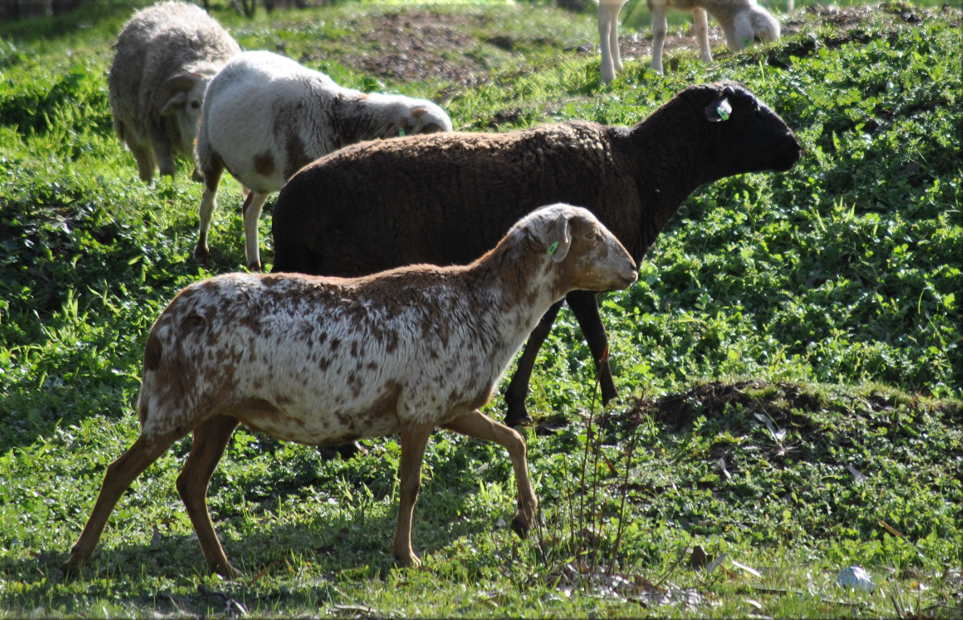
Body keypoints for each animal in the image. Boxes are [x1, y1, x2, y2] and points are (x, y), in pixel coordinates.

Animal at [63, 203, 637, 578]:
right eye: (592, 236)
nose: (633, 267)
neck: (488, 310)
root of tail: (160, 327)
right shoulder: (420, 407)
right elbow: (410, 487)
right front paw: (406, 556)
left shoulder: (451, 405)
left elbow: (514, 441)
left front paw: (524, 517)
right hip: (178, 401)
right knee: (120, 472)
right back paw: (79, 558)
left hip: (220, 411)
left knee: (191, 483)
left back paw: (223, 565)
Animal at [108, 1, 240, 183]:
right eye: (194, 104)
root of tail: (162, 5)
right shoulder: (156, 131)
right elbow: (167, 171)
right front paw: (167, 188)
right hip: (129, 126)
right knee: (145, 165)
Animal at [193, 50, 453, 271]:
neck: (338, 118)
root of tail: (239, 57)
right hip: (208, 148)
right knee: (208, 203)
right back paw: (202, 252)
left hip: (260, 172)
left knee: (249, 210)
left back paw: (254, 263)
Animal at [271, 80, 802, 428]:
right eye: (750, 112)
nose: (796, 149)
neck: (640, 168)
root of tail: (289, 206)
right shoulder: (582, 274)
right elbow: (595, 338)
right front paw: (611, 401)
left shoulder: (553, 278)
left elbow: (539, 332)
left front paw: (518, 406)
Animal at [598, 0, 781, 81]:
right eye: (757, 38)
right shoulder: (658, 3)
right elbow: (660, 32)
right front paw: (656, 70)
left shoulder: (697, 4)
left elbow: (702, 28)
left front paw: (707, 61)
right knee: (604, 23)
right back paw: (608, 73)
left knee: (614, 17)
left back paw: (619, 66)